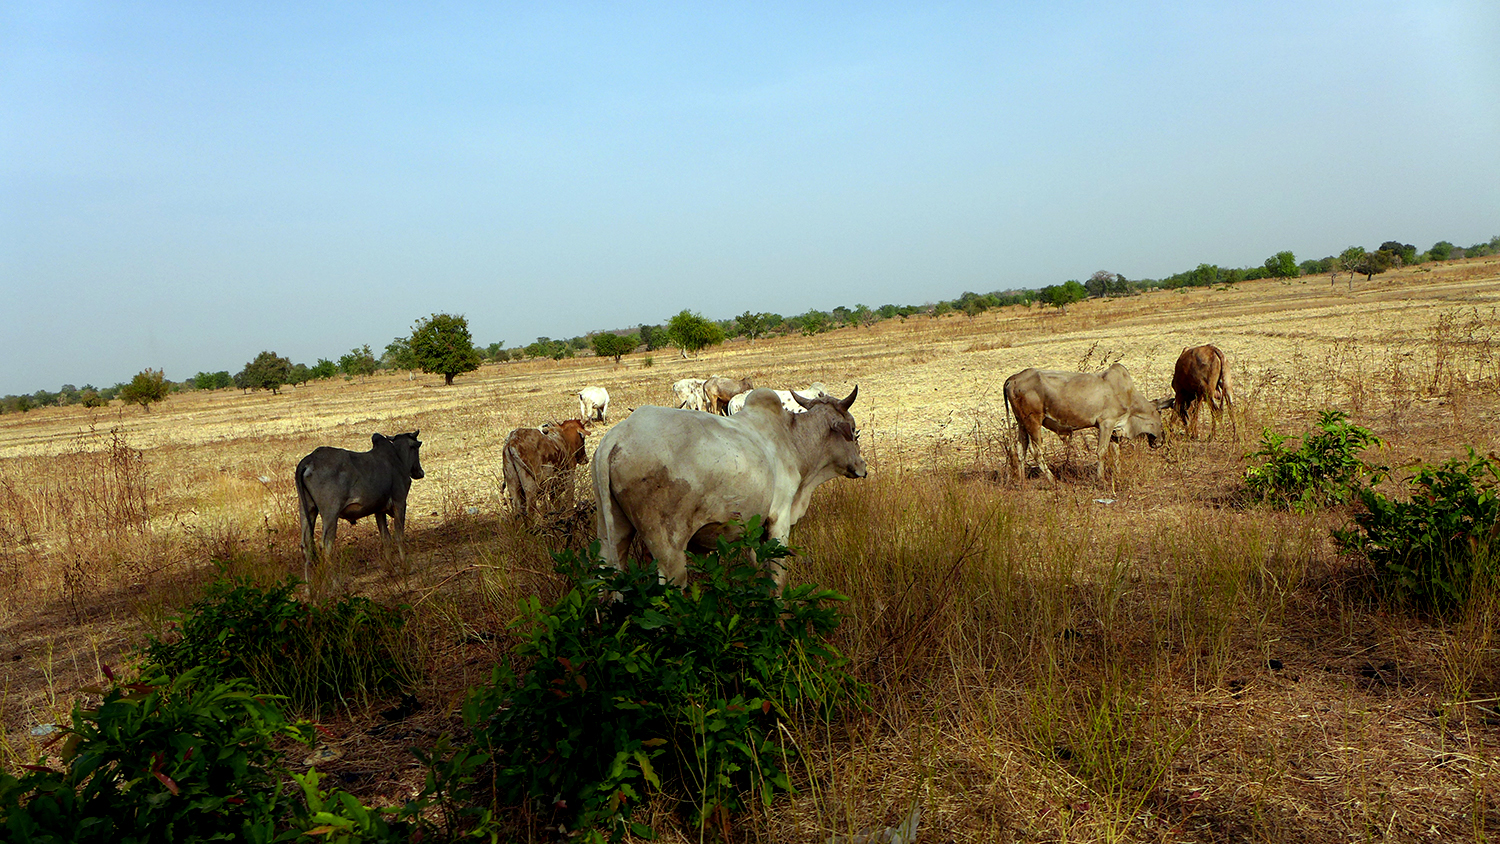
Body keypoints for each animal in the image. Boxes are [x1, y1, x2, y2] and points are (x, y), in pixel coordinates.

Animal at [295, 431, 423, 584]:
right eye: (417, 447)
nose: (420, 472)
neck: (398, 459)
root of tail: (309, 459)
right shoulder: (400, 502)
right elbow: (399, 535)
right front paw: (406, 567)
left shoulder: (379, 510)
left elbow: (385, 538)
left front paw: (390, 569)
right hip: (330, 513)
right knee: (325, 545)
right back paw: (335, 584)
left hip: (307, 510)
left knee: (305, 545)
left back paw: (309, 588)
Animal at [588, 386, 864, 590]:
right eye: (852, 429)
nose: (862, 466)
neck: (791, 440)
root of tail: (615, 439)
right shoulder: (779, 521)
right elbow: (777, 579)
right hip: (669, 551)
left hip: (611, 532)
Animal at [1008, 364, 1170, 488]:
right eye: (1160, 417)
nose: (1161, 440)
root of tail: (1013, 378)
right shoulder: (1106, 423)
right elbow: (1102, 452)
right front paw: (1101, 479)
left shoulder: (1114, 428)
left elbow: (1116, 452)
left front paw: (1118, 475)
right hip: (1033, 421)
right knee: (1036, 451)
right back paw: (1053, 481)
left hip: (1021, 423)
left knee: (1020, 450)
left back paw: (1022, 483)